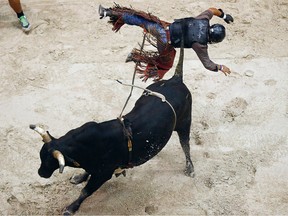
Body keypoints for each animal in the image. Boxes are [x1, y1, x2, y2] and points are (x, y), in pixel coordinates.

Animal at [30, 42, 195, 214]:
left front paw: (71, 208)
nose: (40, 173)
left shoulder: (103, 174)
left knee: (185, 144)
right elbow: (86, 173)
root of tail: (175, 80)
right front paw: (78, 177)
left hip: (185, 123)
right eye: (41, 156)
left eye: (50, 161)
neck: (83, 147)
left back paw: (190, 168)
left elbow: (85, 191)